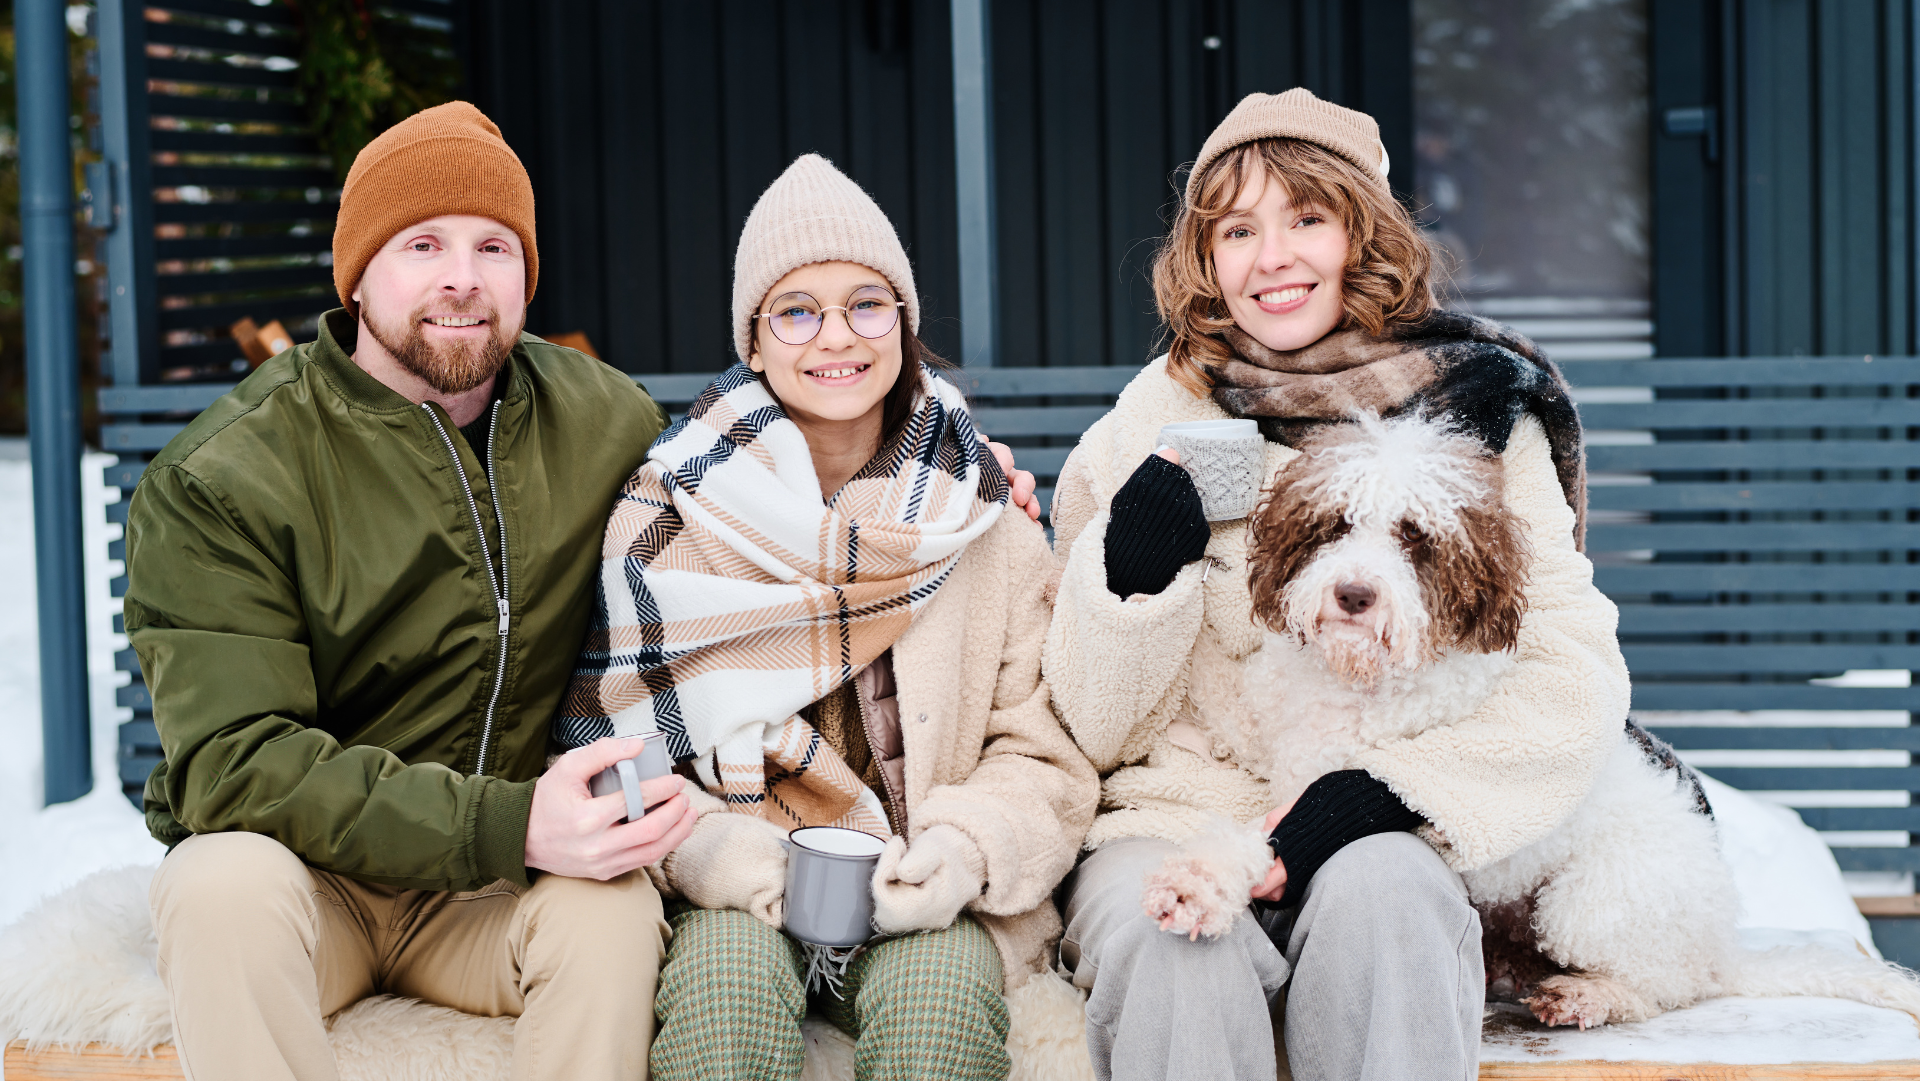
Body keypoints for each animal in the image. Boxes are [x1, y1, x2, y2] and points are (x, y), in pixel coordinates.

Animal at [1128, 414, 1920, 1029]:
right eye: (1337, 523)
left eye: (1416, 538)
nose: (1354, 594)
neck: (1357, 682)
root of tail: (1721, 937)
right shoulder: (1277, 727)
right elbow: (1222, 696)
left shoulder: (1345, 790)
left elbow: (1269, 838)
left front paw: (1198, 886)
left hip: (1590, 904)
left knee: (1669, 985)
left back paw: (1587, 996)